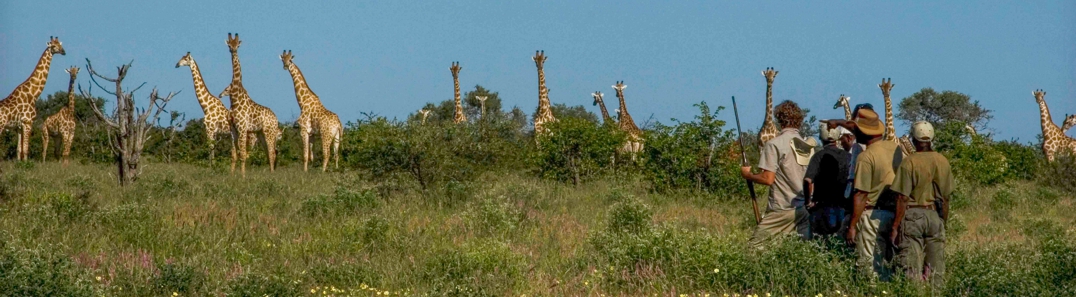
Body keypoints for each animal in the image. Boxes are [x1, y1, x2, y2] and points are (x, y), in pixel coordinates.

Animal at [215, 33, 277, 176]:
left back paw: (272, 174)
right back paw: (270, 173)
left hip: (269, 132)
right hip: (260, 133)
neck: (235, 99)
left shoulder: (243, 128)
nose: (233, 50)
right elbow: (234, 154)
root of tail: (276, 119)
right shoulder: (233, 129)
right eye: (229, 45)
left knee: (272, 152)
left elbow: (242, 154)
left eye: (237, 45)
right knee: (268, 153)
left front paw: (243, 175)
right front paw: (231, 174)